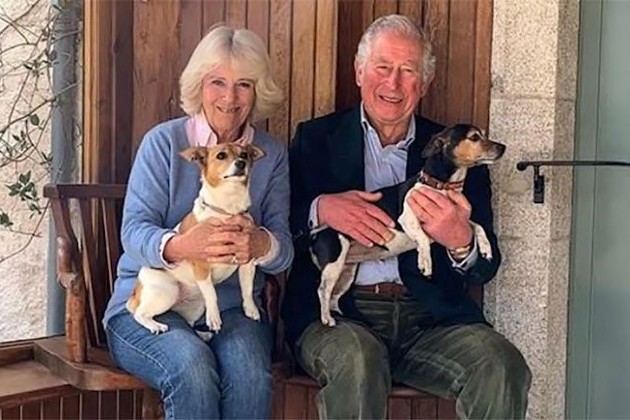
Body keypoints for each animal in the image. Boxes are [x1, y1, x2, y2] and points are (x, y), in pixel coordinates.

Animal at [126, 143, 265, 335]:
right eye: (221, 156)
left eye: (244, 154)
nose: (241, 163)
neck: (227, 211)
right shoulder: (202, 267)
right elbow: (213, 295)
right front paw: (214, 318)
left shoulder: (247, 264)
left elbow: (247, 289)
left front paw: (250, 309)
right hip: (166, 291)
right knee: (139, 314)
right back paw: (155, 325)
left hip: (196, 305)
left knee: (190, 324)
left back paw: (202, 335)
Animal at [310, 124, 506, 326]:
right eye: (474, 137)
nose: (503, 147)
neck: (441, 186)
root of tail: (316, 235)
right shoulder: (407, 218)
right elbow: (423, 238)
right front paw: (425, 262)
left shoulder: (457, 218)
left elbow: (477, 226)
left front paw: (486, 249)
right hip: (334, 265)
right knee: (323, 291)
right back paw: (327, 319)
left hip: (347, 272)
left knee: (334, 296)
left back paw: (342, 317)